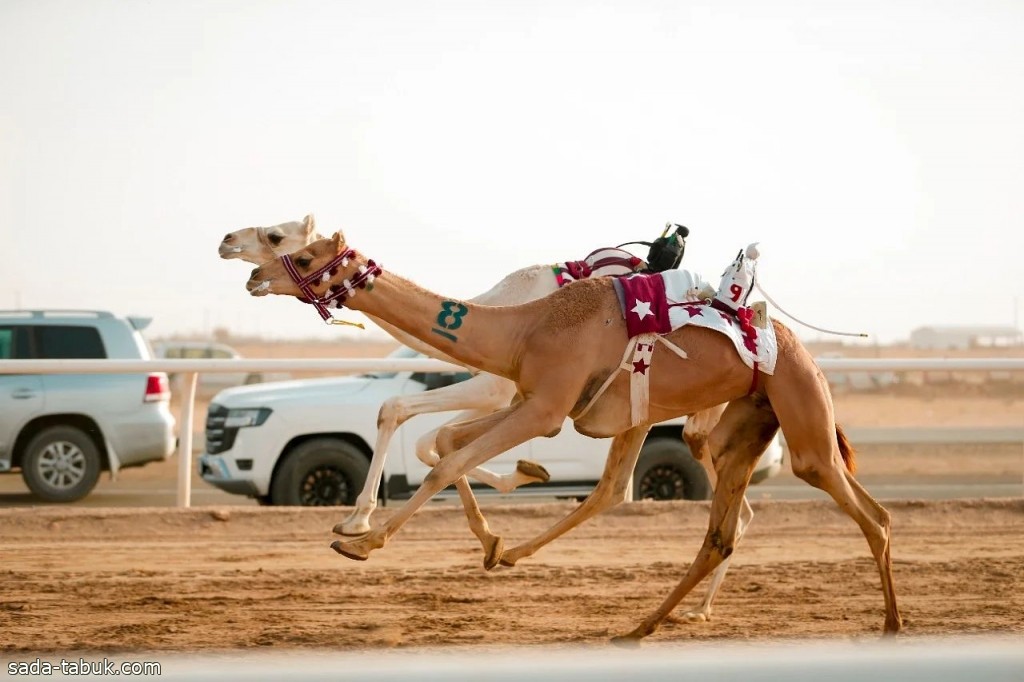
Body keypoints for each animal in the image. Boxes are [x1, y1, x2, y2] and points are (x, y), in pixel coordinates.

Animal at [243, 227, 901, 638]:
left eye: (300, 253)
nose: (253, 276)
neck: (523, 325)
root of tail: (795, 343)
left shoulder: (544, 407)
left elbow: (447, 458)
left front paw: (362, 540)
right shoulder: (536, 399)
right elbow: (449, 448)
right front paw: (492, 540)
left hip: (798, 410)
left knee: (863, 512)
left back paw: (892, 623)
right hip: (728, 420)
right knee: (690, 515)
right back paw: (637, 622)